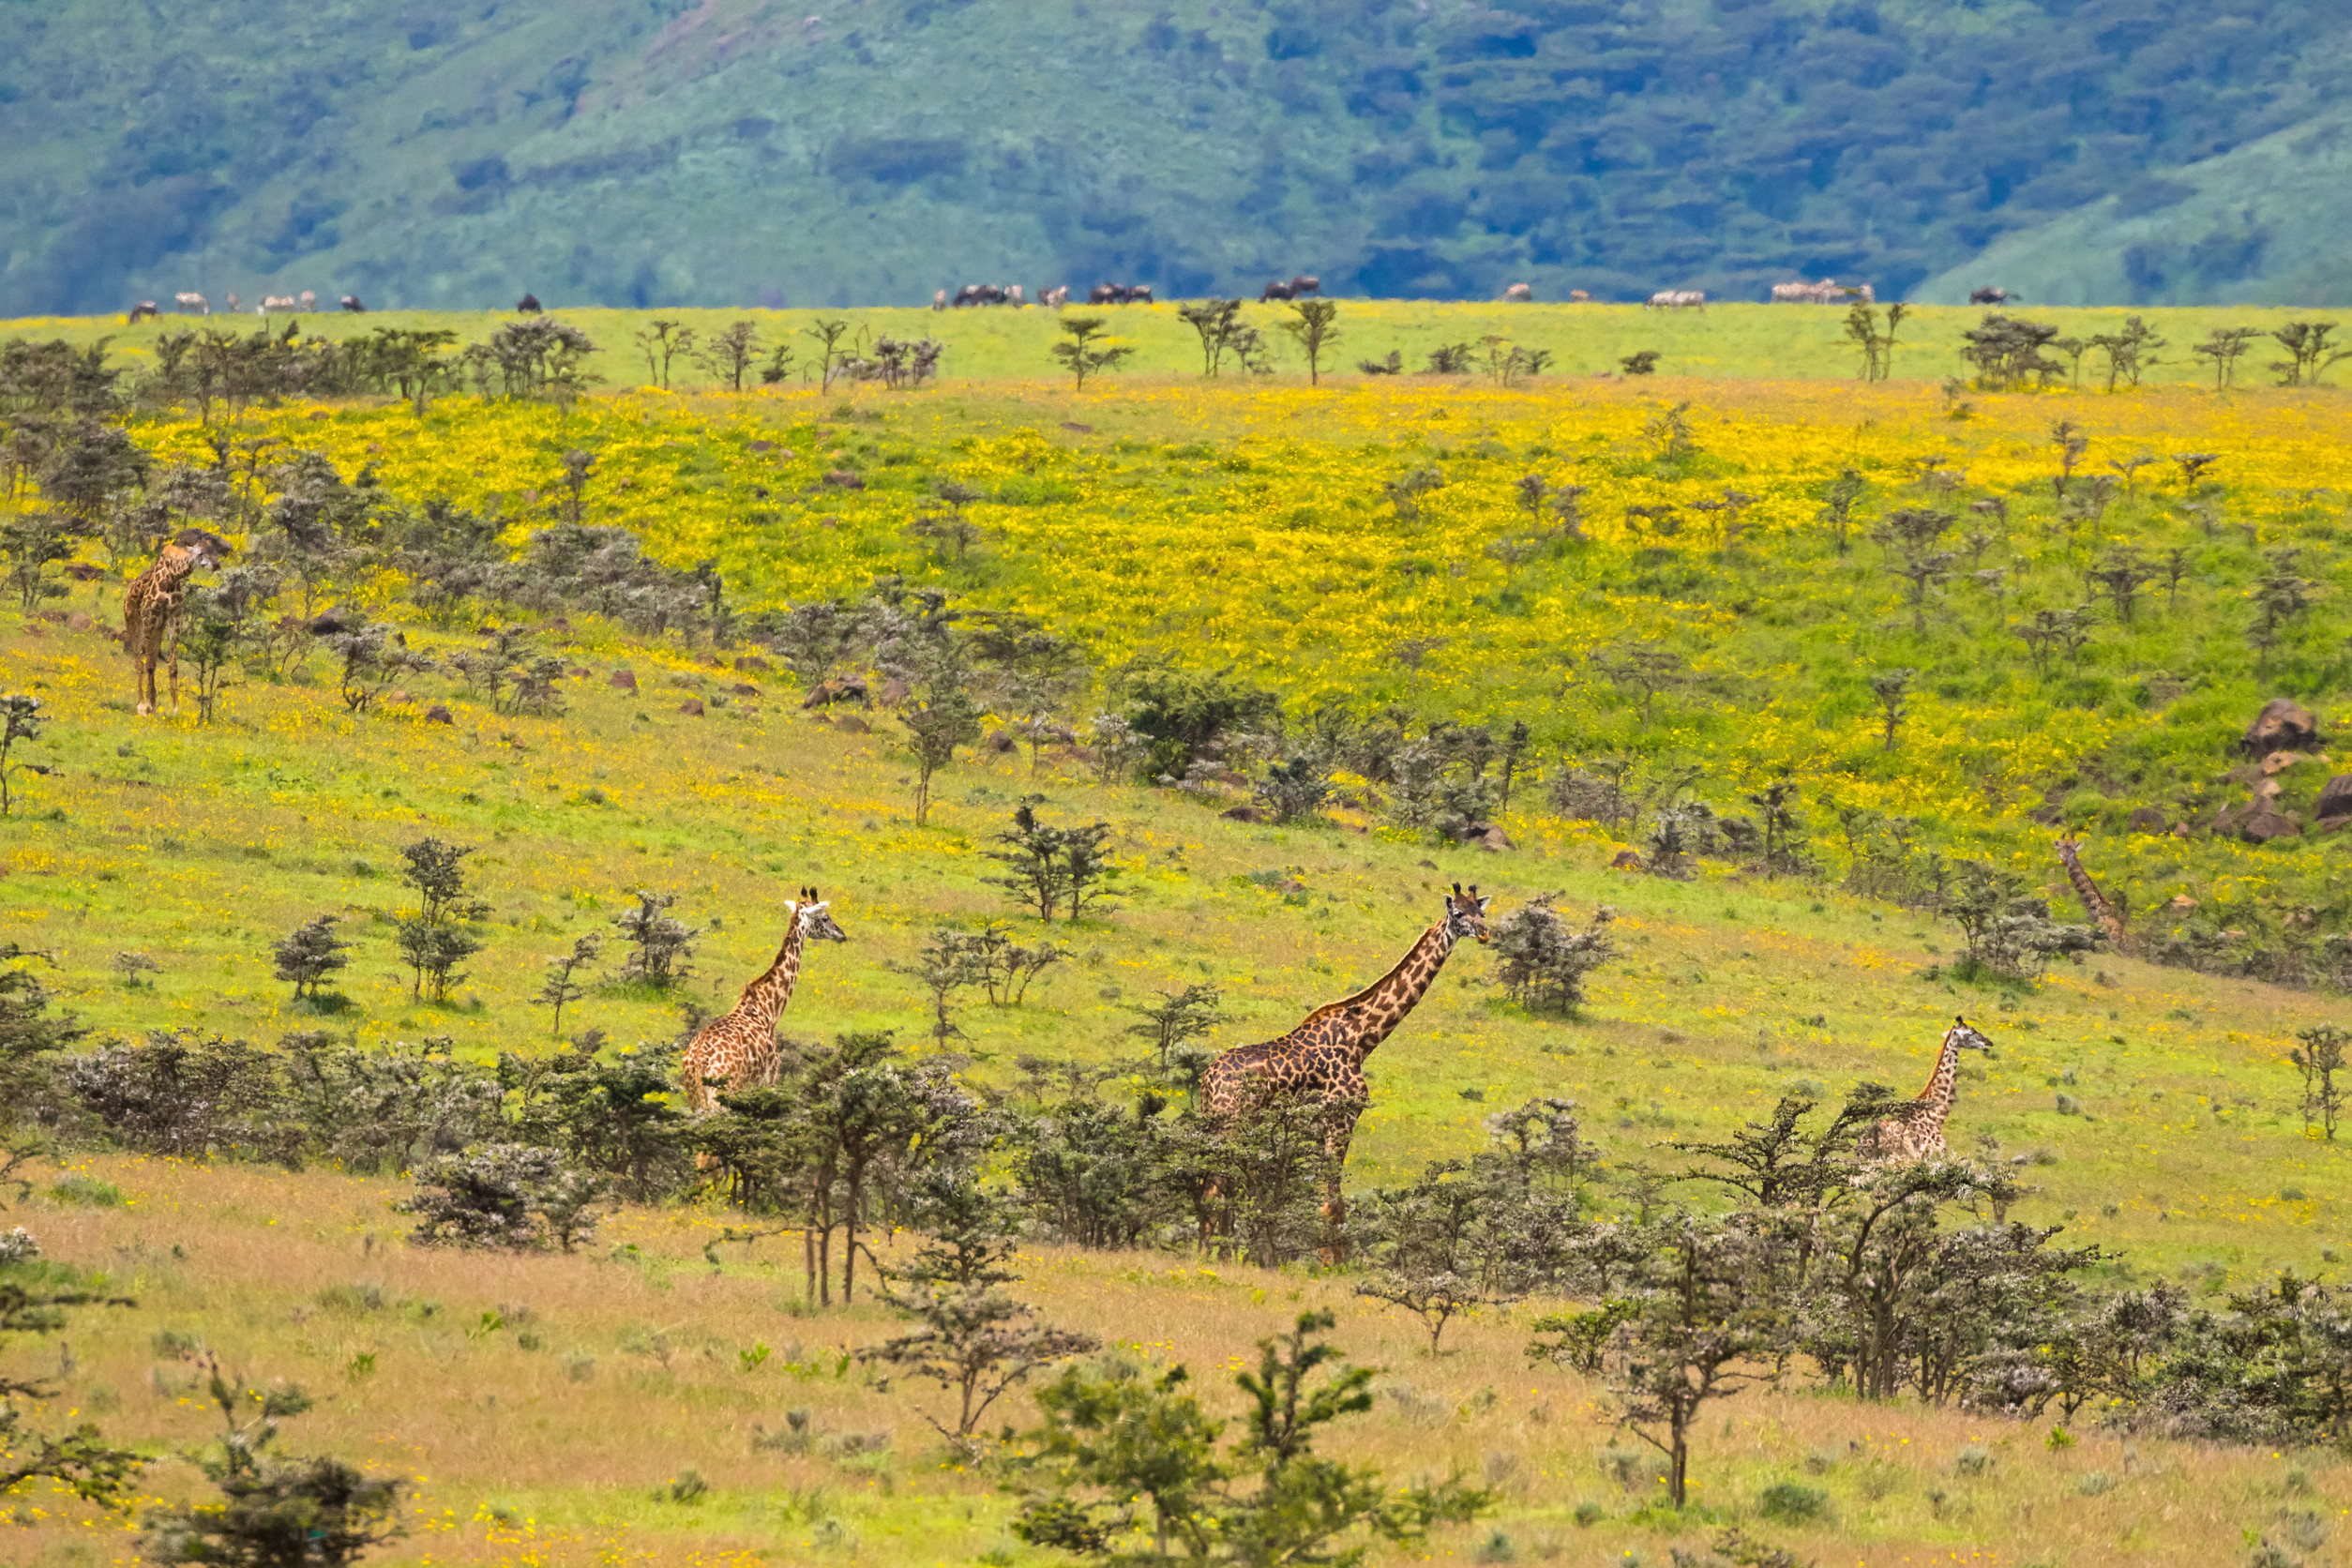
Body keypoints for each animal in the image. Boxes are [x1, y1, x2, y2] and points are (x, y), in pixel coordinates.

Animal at [120, 531, 230, 719]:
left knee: (152, 661)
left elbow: (172, 666)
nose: (216, 565)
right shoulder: (149, 617)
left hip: (159, 627)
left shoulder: (174, 618)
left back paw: (152, 704)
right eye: (200, 553)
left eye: (215, 551)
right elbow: (147, 664)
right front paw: (147, 706)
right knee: (139, 663)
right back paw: (141, 705)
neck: (172, 578)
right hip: (134, 622)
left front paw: (175, 708)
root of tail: (128, 592)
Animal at [677, 883, 851, 1114]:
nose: (842, 934)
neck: (770, 1008)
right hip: (722, 1096)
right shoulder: (770, 1080)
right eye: (824, 917)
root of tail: (698, 1063)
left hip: (694, 1099)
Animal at [1204, 883, 1496, 1259]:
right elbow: (1331, 1203)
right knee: (1215, 1189)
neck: (1361, 1038)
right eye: (1458, 914)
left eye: (1482, 912)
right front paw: (1333, 1264)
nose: (1485, 933)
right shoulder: (1341, 1119)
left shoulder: (1316, 1131)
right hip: (1230, 1127)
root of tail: (1206, 1082)